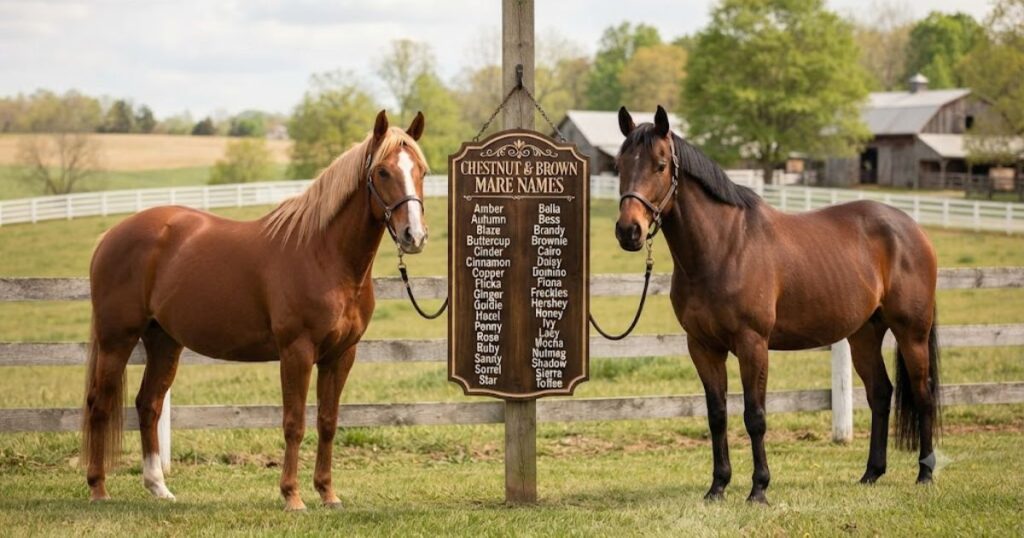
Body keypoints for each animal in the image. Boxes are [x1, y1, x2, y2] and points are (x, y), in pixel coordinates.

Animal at [82, 110, 430, 510]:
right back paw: (98, 488)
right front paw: (292, 496)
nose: (414, 236)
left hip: (164, 341)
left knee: (148, 404)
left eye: (422, 170)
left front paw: (328, 493)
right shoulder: (297, 351)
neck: (323, 254)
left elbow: (328, 422)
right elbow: (294, 423)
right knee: (100, 404)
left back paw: (158, 487)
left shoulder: (342, 355)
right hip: (117, 339)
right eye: (383, 172)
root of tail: (110, 235)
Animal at [613, 106, 941, 504]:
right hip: (864, 334)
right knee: (880, 393)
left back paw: (925, 473)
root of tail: (912, 229)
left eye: (660, 165)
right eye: (618, 165)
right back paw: (871, 474)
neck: (724, 247)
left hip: (912, 333)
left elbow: (755, 416)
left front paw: (759, 489)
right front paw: (717, 487)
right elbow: (717, 415)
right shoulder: (703, 347)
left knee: (923, 394)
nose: (629, 231)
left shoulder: (753, 344)